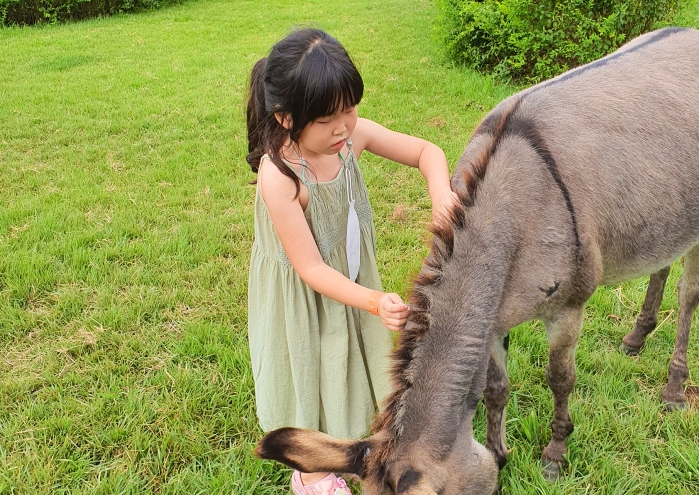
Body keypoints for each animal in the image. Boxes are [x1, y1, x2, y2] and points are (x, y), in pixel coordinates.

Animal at [255, 27, 699, 494]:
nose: (506, 460)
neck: (510, 212)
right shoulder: (494, 316)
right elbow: (495, 388)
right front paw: (500, 454)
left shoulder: (566, 309)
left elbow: (560, 379)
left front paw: (554, 455)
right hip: (662, 210)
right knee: (660, 262)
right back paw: (637, 337)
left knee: (688, 295)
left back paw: (674, 389)